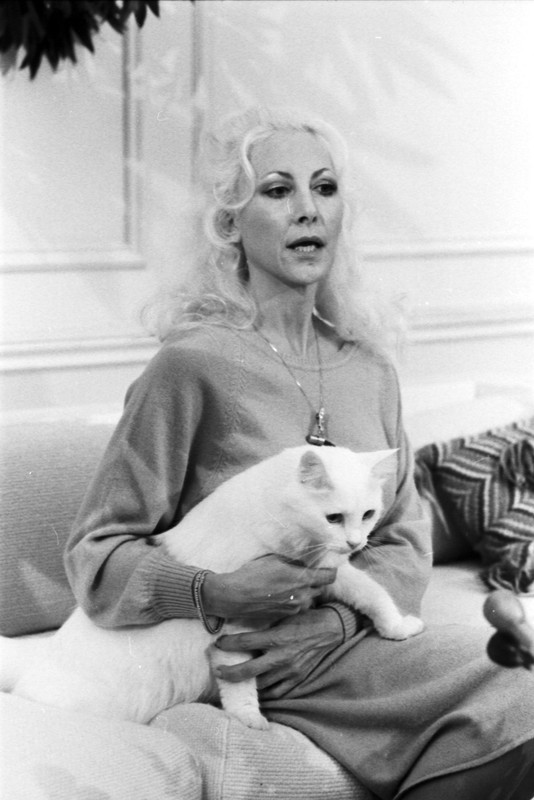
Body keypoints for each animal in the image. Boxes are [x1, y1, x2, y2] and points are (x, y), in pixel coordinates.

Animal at [0, 445, 424, 730]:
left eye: (368, 514)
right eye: (333, 517)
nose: (355, 543)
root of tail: (35, 660)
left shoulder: (331, 572)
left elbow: (375, 594)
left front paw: (398, 628)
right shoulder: (236, 627)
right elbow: (238, 680)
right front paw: (249, 720)